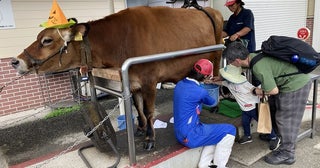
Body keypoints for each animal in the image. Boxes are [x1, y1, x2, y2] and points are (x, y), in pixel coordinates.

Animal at [11, 5, 222, 150]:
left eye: (46, 40)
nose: (15, 61)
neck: (120, 41)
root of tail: (212, 10)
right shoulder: (133, 82)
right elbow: (138, 108)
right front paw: (140, 129)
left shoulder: (149, 81)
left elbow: (149, 111)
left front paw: (150, 139)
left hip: (218, 56)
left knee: (217, 79)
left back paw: (216, 105)